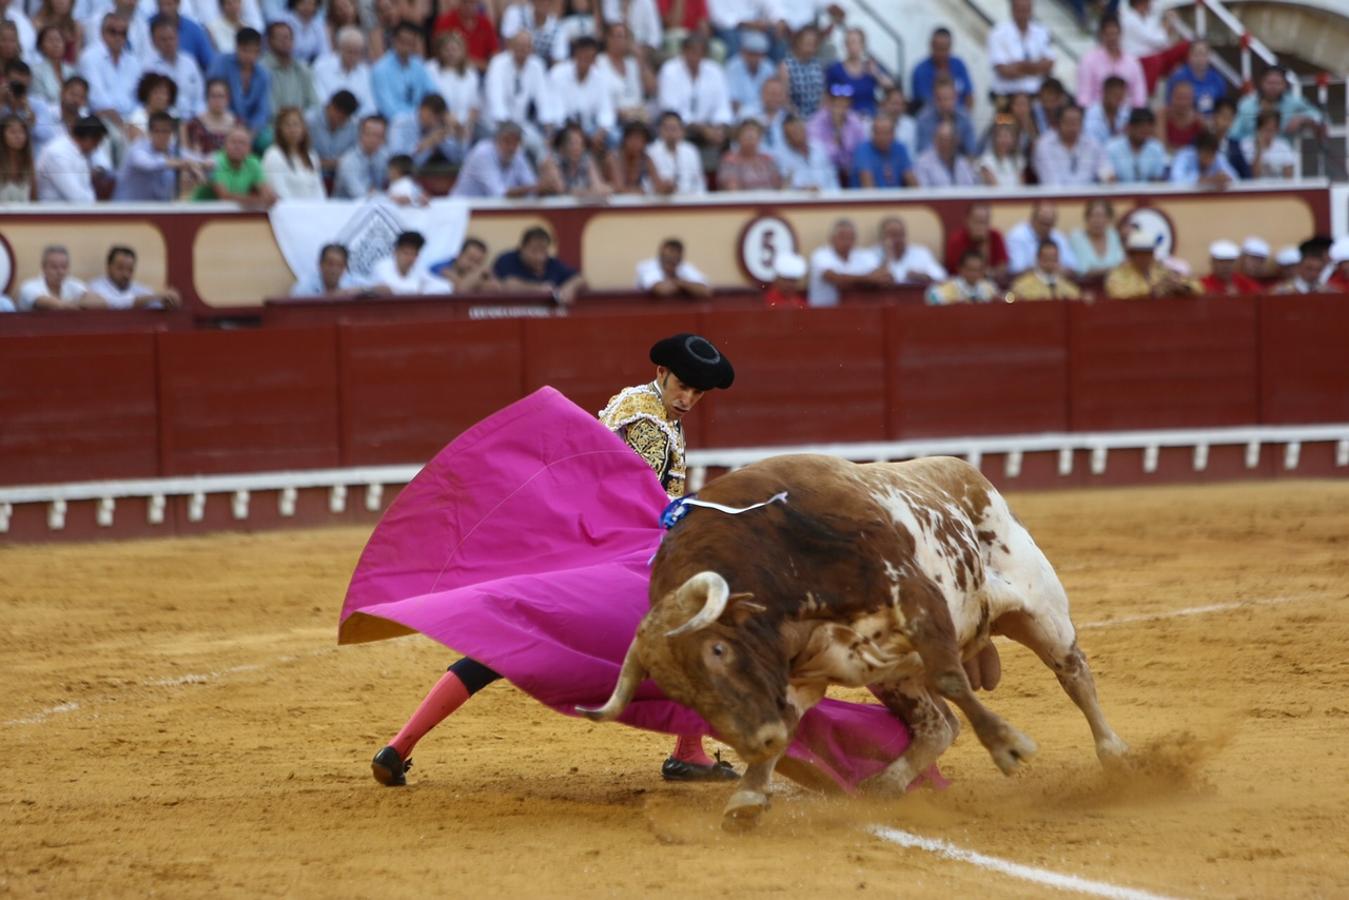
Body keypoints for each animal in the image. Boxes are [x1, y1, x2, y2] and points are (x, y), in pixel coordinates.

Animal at [577, 458, 1127, 831]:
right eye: (679, 691)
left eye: (718, 650)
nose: (756, 740)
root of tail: (969, 475)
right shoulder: (801, 674)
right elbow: (791, 722)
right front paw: (748, 798)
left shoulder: (916, 598)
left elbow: (952, 676)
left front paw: (1007, 744)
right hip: (895, 672)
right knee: (938, 726)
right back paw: (884, 785)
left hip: (1040, 612)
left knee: (1074, 675)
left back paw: (1115, 754)